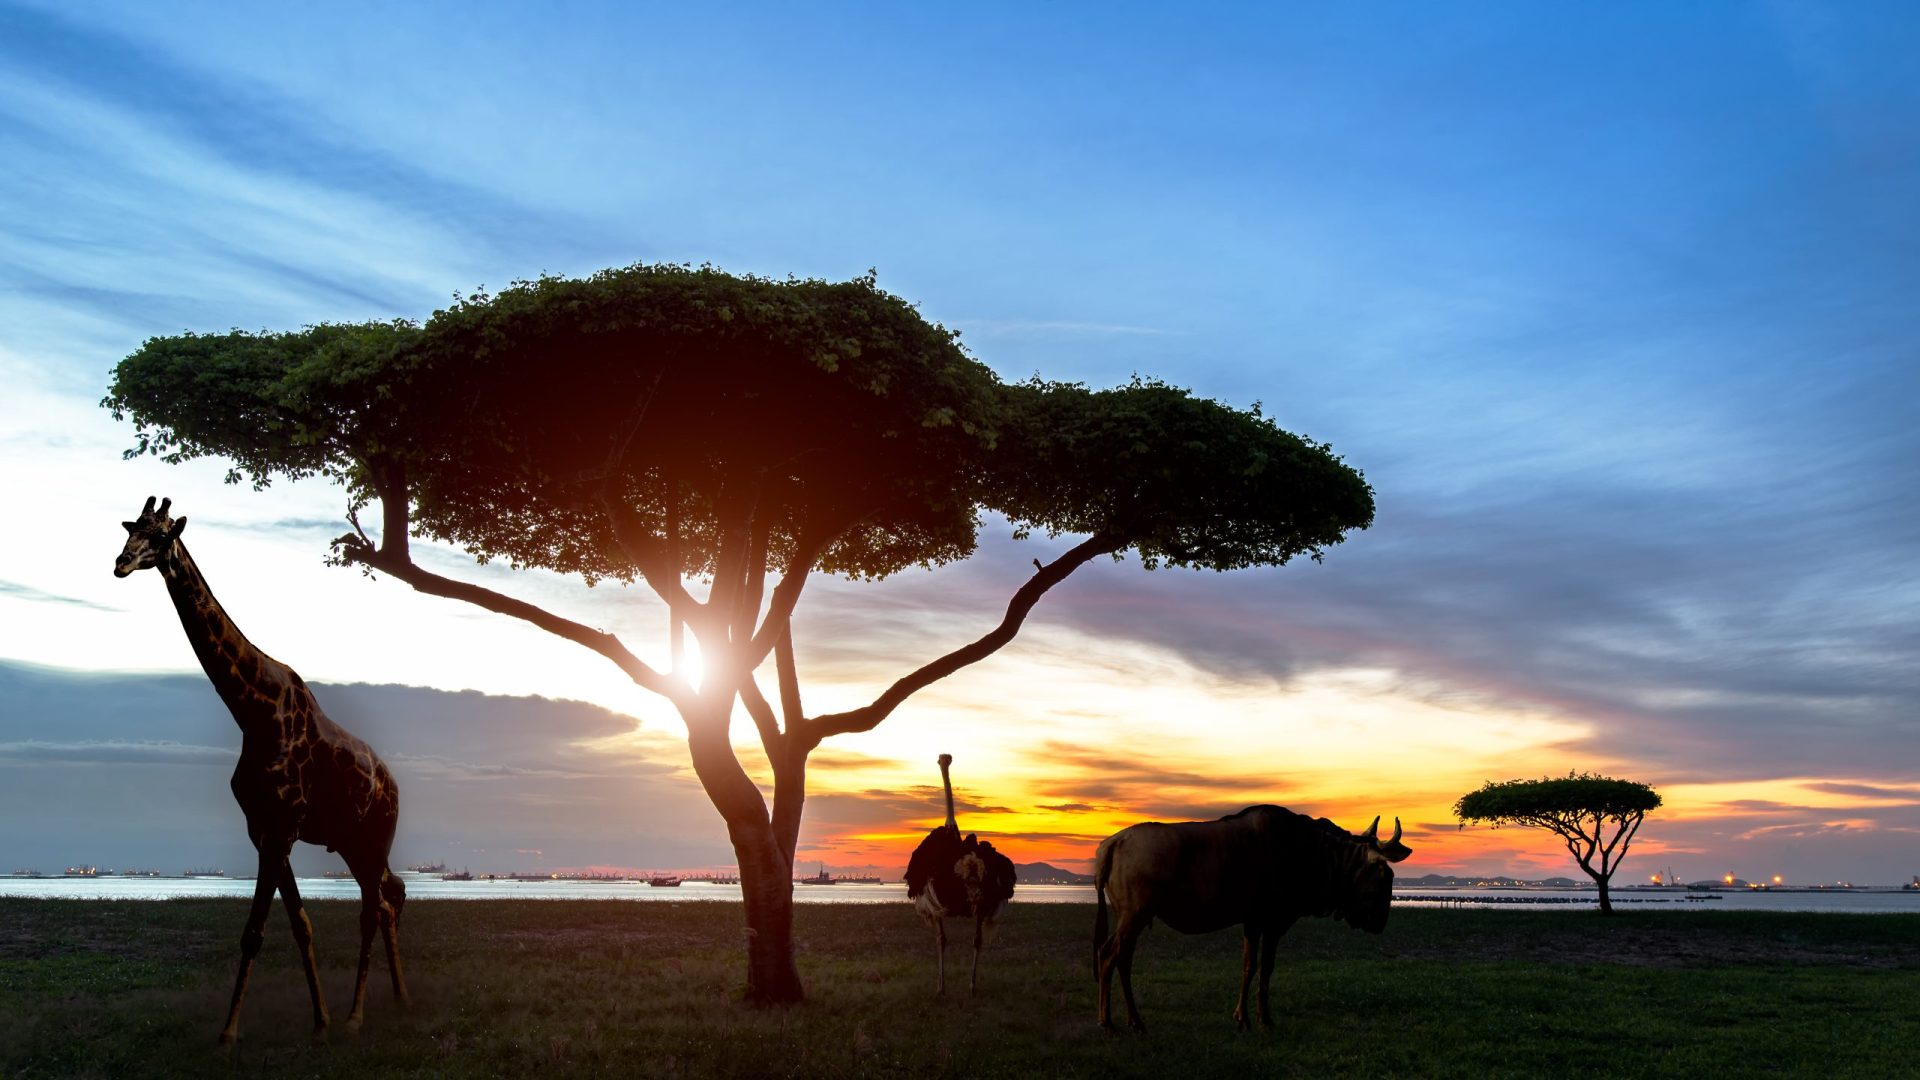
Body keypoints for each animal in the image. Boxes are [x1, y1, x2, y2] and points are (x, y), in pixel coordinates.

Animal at [112, 499, 408, 1045]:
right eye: (129, 529)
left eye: (161, 536)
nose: (120, 563)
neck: (253, 712)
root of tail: (392, 783)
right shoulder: (262, 827)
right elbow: (298, 924)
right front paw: (319, 1021)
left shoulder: (283, 827)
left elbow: (255, 931)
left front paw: (230, 1033)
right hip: (351, 841)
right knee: (384, 900)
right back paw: (395, 999)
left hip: (376, 835)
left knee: (370, 909)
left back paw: (359, 1016)